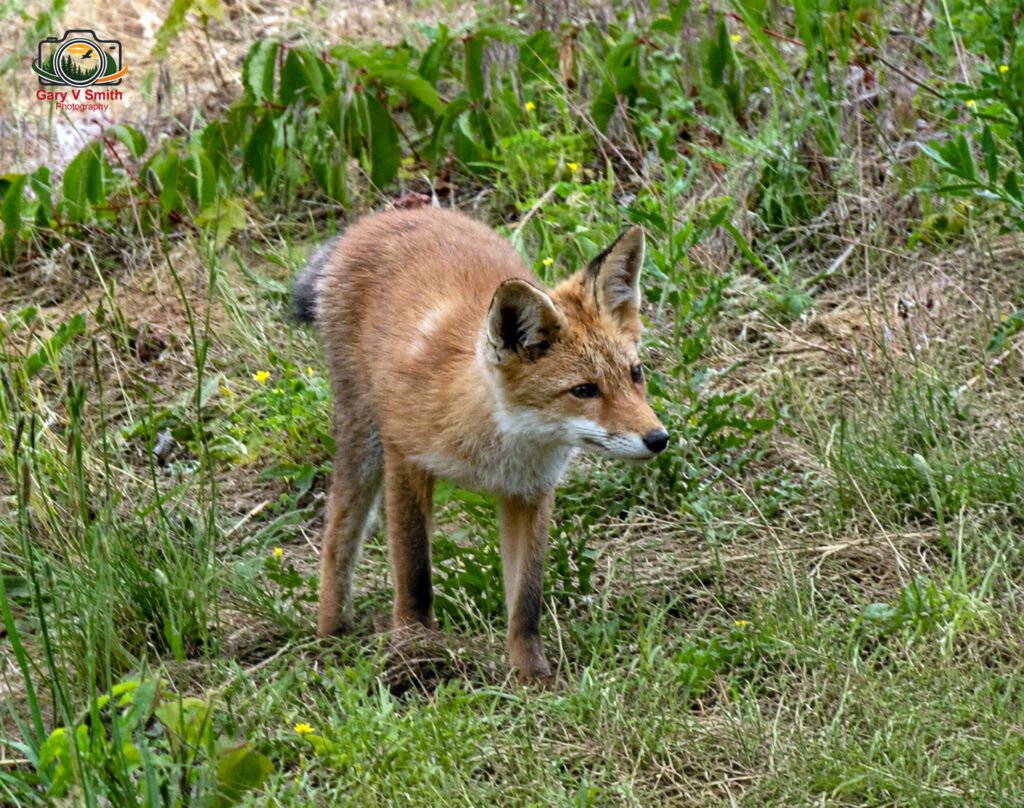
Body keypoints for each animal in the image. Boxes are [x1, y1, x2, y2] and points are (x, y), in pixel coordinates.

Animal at [292, 206, 668, 682]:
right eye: (584, 390)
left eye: (635, 374)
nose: (659, 439)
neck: (496, 449)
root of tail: (383, 216)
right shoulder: (407, 460)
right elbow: (415, 576)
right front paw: (415, 655)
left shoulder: (530, 492)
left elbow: (526, 601)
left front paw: (532, 677)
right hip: (363, 437)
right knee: (339, 531)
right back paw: (331, 635)